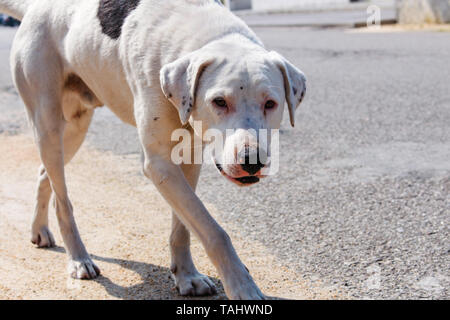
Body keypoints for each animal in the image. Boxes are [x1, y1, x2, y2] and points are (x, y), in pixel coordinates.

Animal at [0, 0, 306, 300]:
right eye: (219, 101)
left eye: (270, 103)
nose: (252, 161)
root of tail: (33, 9)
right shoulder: (159, 164)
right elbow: (214, 231)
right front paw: (243, 286)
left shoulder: (188, 158)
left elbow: (184, 227)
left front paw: (187, 275)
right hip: (47, 121)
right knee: (62, 199)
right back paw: (78, 258)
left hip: (76, 127)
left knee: (44, 174)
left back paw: (39, 230)